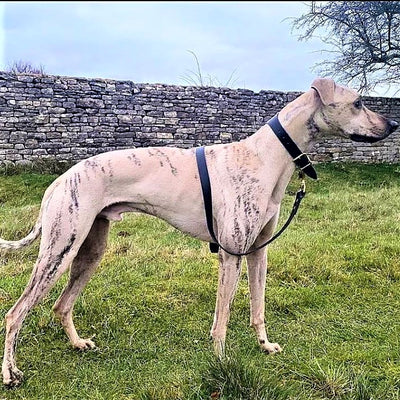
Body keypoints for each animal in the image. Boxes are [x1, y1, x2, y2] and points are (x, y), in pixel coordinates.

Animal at [1, 76, 398, 386]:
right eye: (358, 102)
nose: (393, 125)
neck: (266, 157)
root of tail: (58, 181)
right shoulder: (231, 254)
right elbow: (222, 317)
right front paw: (221, 360)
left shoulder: (258, 252)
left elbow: (257, 306)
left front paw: (264, 345)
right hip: (58, 251)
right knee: (16, 313)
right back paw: (11, 373)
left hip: (89, 250)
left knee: (61, 305)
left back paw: (77, 343)